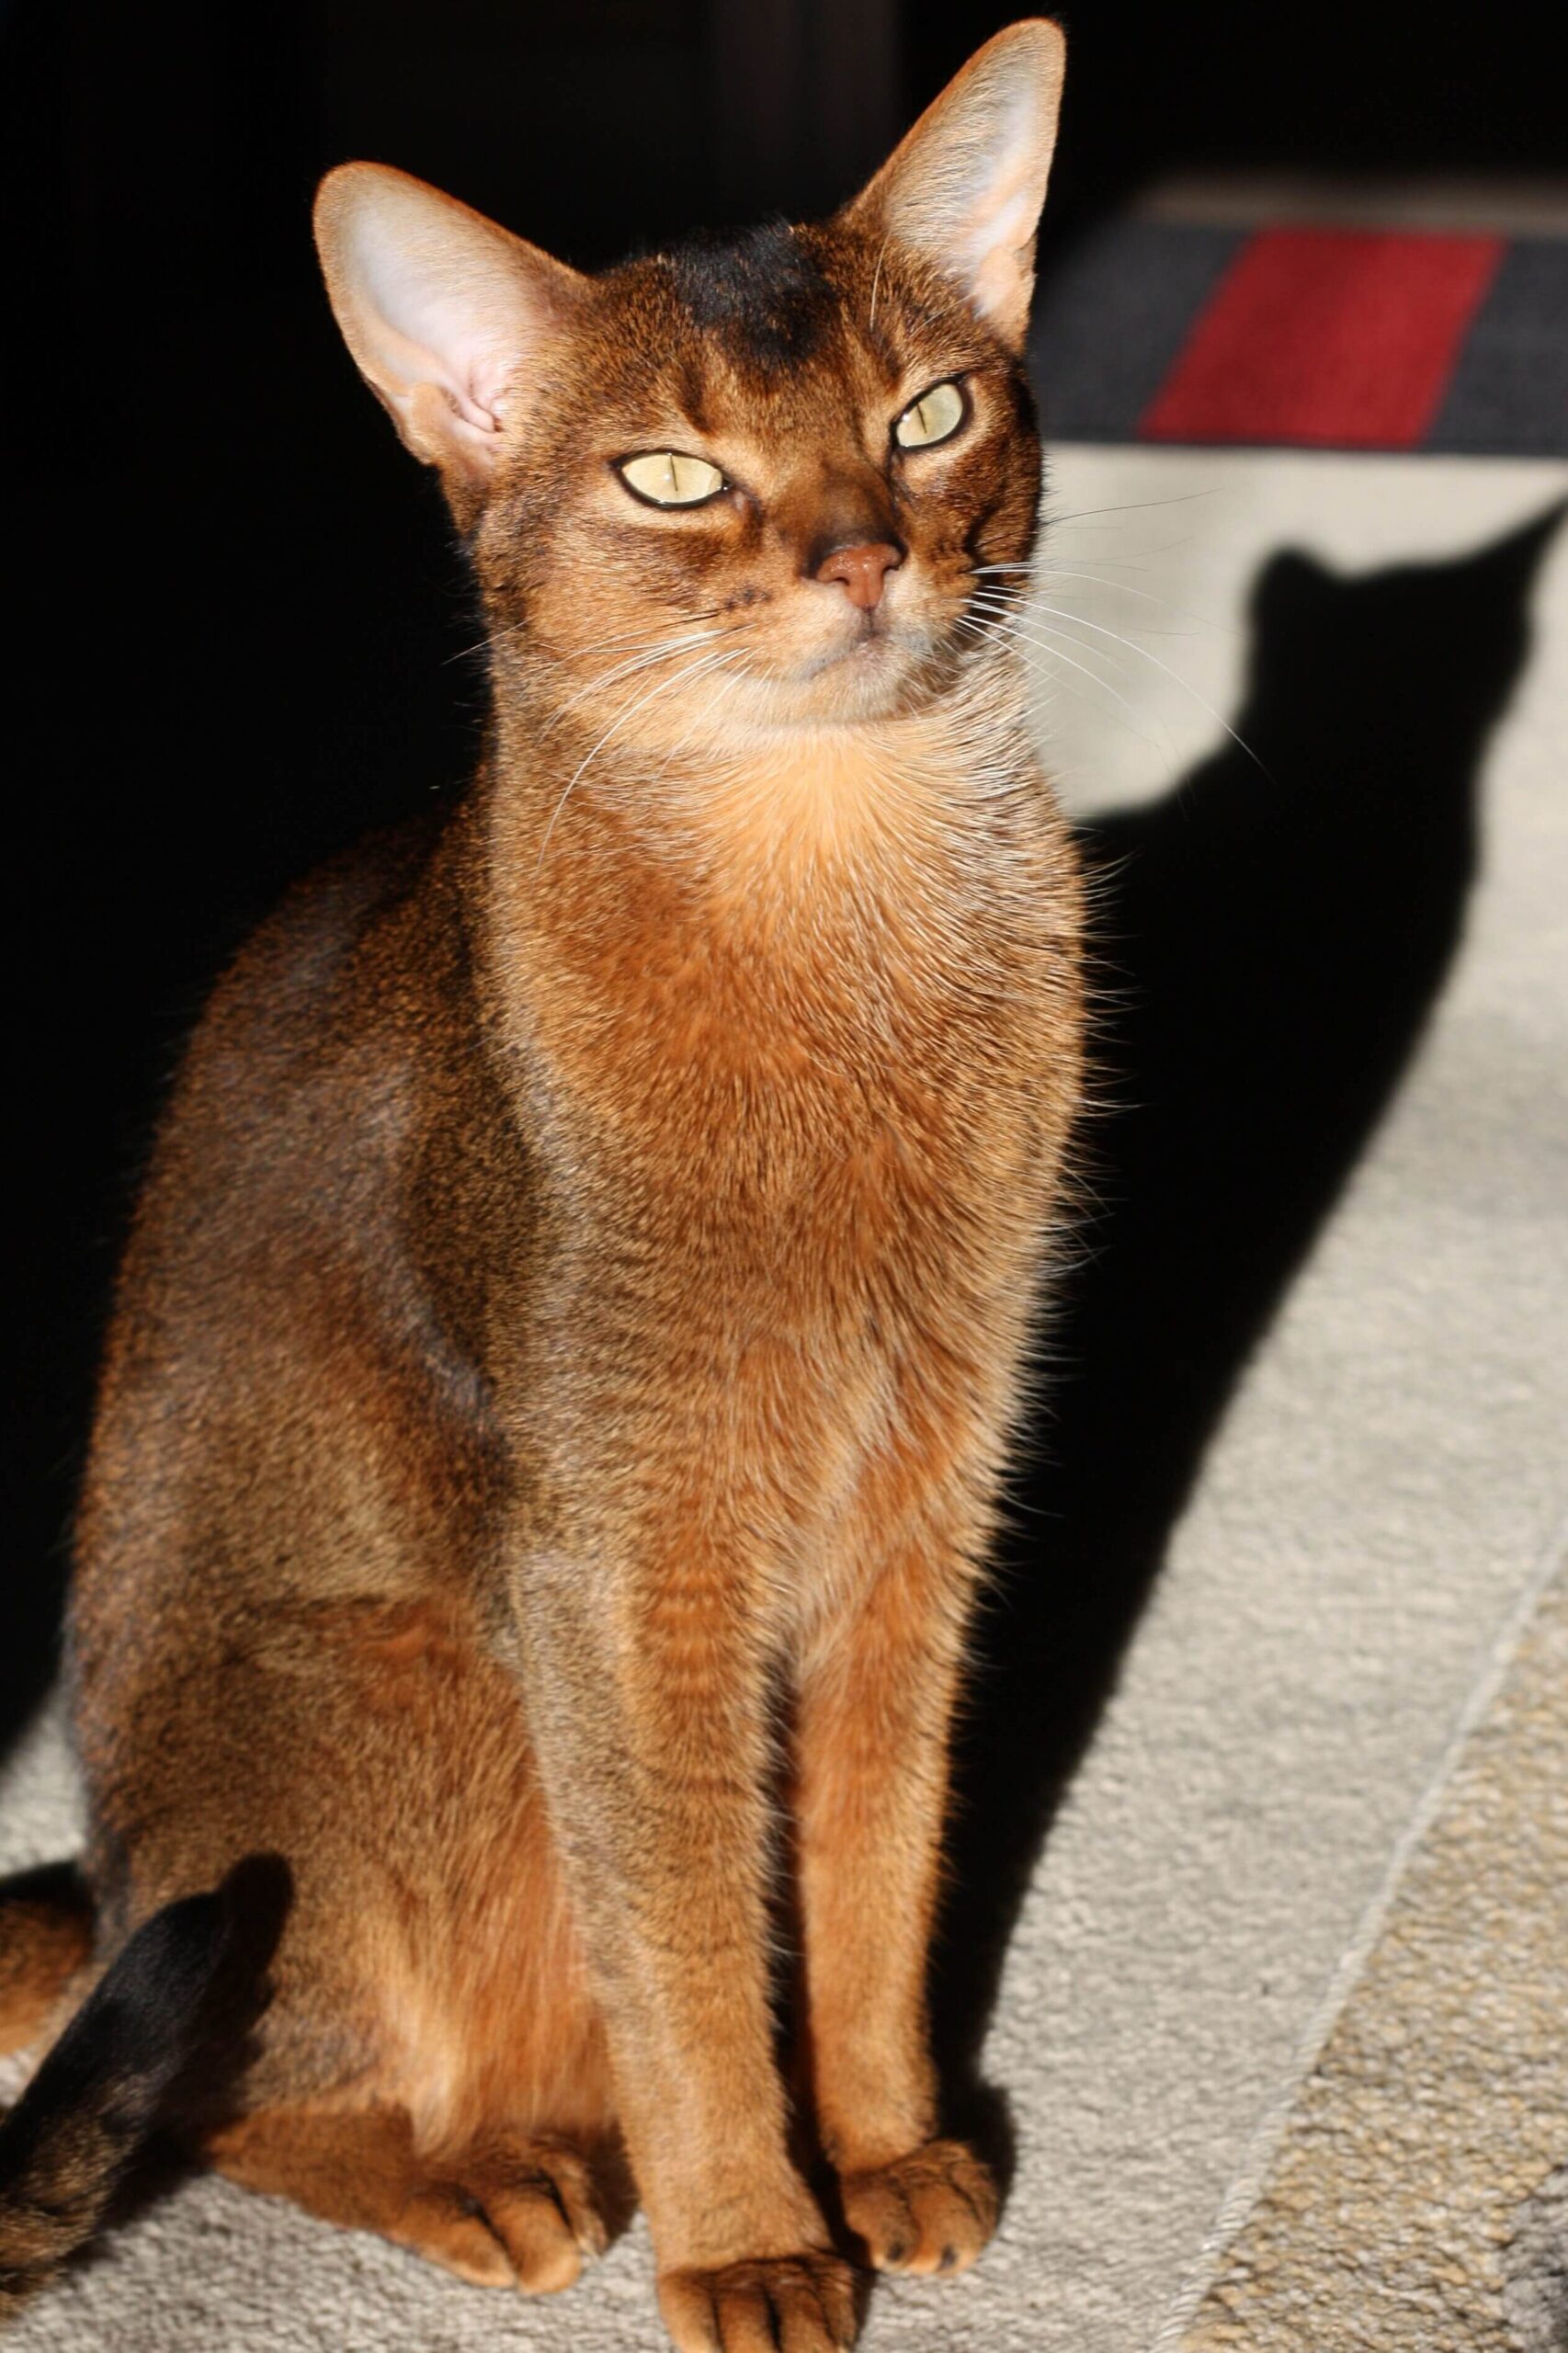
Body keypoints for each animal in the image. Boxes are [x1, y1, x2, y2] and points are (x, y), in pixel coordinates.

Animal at [0, 22, 1074, 2353]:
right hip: (416, 1688)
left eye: (924, 417)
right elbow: (686, 1942)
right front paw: (750, 2235)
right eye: (672, 477)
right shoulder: (616, 1561)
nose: (863, 555)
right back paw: (494, 2177)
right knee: (221, 2089)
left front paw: (879, 2149)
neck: (834, 890)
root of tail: (104, 1872)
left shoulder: (922, 1498)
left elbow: (873, 1867)